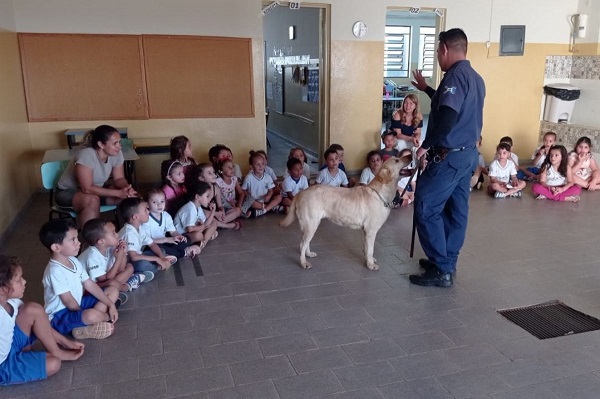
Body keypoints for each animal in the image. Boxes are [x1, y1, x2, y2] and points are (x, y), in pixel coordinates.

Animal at [280, 155, 412, 270]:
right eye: (397, 160)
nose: (410, 155)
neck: (380, 193)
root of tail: (300, 193)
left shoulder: (366, 231)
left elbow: (366, 248)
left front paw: (368, 259)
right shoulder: (371, 230)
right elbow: (370, 249)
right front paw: (370, 264)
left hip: (311, 224)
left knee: (305, 242)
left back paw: (309, 254)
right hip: (311, 223)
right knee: (302, 244)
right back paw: (303, 262)